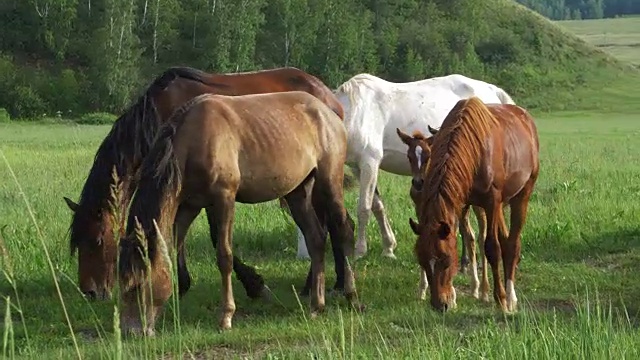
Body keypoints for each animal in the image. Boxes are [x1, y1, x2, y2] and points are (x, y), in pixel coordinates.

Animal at [62, 66, 348, 302]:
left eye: (97, 240)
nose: (90, 292)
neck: (159, 116)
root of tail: (329, 97)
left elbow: (211, 235)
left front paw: (254, 285)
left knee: (333, 224)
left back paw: (338, 284)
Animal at [119, 90, 360, 334]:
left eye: (137, 285)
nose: (131, 331)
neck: (192, 139)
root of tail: (328, 112)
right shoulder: (190, 205)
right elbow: (175, 247)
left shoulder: (224, 198)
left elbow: (224, 256)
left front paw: (226, 316)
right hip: (297, 192)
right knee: (315, 239)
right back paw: (316, 305)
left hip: (329, 180)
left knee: (344, 230)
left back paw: (351, 296)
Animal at [296, 74, 516, 264]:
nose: (303, 254)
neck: (355, 112)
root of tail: (493, 91)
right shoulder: (358, 167)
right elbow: (377, 206)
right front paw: (389, 248)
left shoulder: (369, 161)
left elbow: (364, 207)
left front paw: (360, 251)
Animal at [396, 128, 490, 302]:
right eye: (409, 157)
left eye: (428, 156)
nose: (418, 183)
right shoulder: (421, 213)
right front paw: (422, 289)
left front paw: (450, 293)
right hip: (463, 210)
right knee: (470, 236)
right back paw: (474, 285)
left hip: (477, 207)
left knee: (481, 238)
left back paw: (483, 290)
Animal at [408, 97, 536, 314]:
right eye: (422, 260)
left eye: (445, 260)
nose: (439, 304)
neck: (474, 151)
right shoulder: (460, 201)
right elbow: (462, 237)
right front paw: (453, 296)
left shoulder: (492, 201)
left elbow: (492, 247)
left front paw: (500, 298)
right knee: (505, 239)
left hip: (522, 193)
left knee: (512, 243)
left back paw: (510, 296)